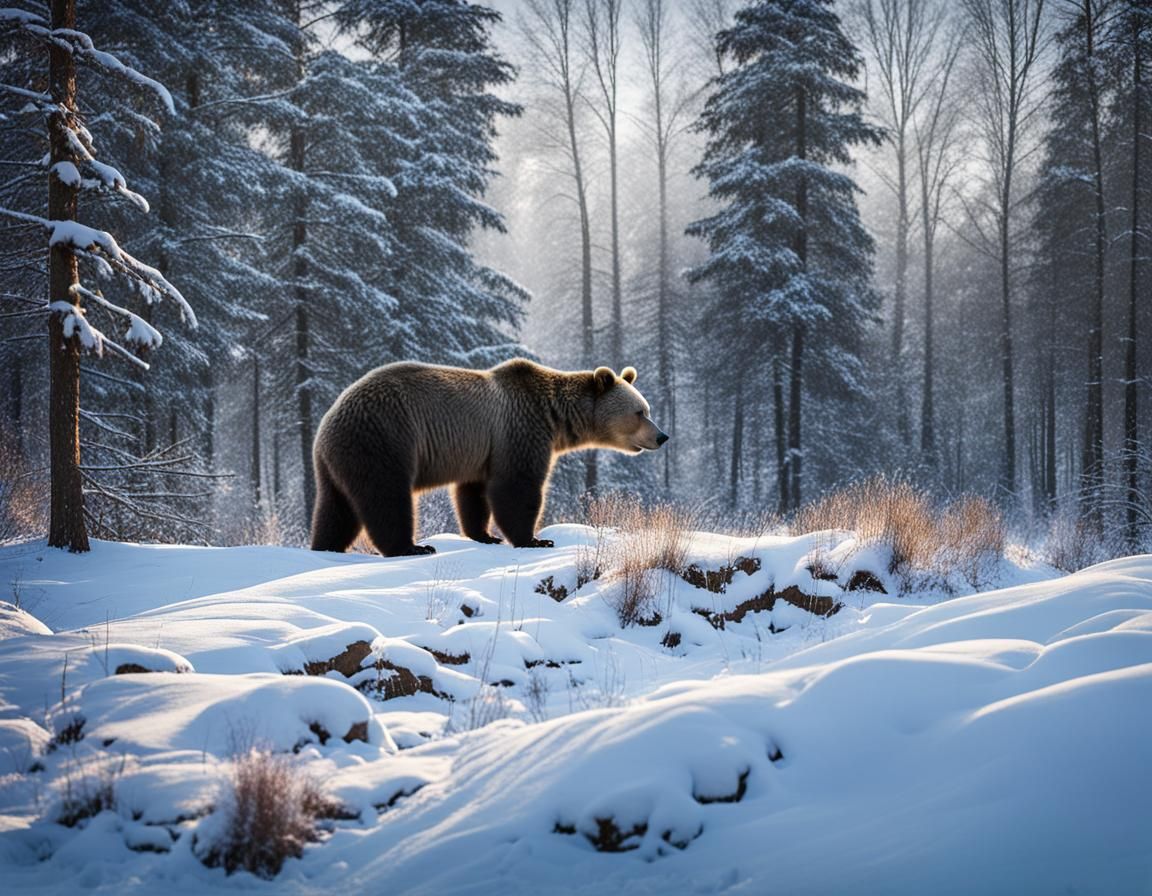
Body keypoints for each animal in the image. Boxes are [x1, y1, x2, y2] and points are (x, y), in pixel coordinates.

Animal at [310, 359, 669, 557]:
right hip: (385, 439)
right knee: (387, 498)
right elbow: (517, 488)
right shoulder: (521, 428)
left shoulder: (483, 450)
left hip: (341, 461)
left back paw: (325, 546)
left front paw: (485, 535)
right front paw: (535, 539)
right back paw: (411, 547)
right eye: (640, 412)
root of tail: (327, 423)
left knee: (336, 509)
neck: (556, 417)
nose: (661, 436)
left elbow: (474, 494)